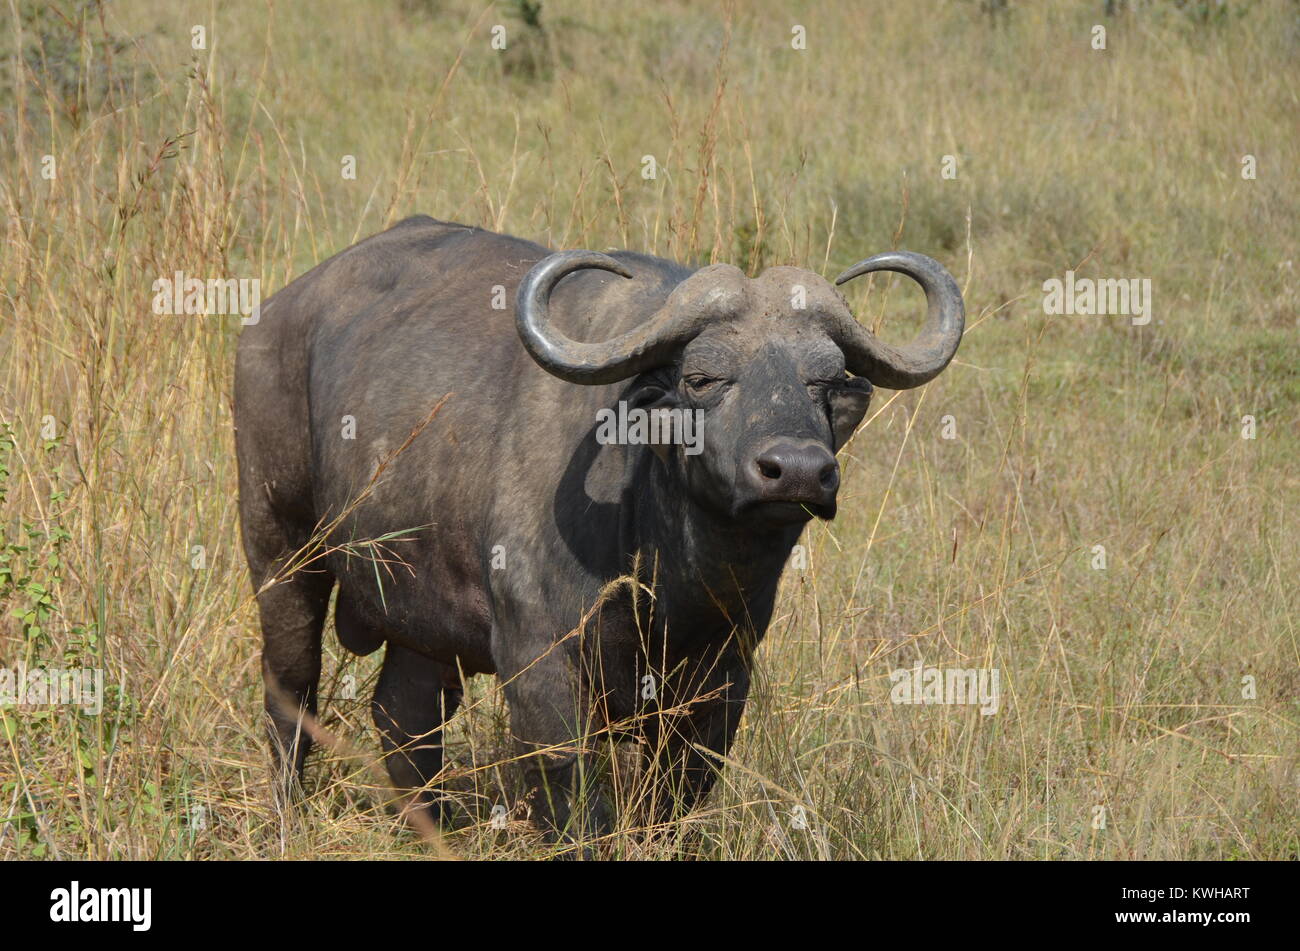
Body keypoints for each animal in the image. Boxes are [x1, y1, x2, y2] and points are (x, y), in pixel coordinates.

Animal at [236, 215, 967, 841]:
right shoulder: (540, 664)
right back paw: (286, 818)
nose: (796, 471)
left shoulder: (724, 676)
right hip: (281, 549)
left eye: (826, 381)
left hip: (421, 620)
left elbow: (676, 793)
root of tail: (276, 315)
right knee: (293, 688)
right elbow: (573, 799)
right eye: (704, 377)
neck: (670, 572)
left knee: (404, 716)